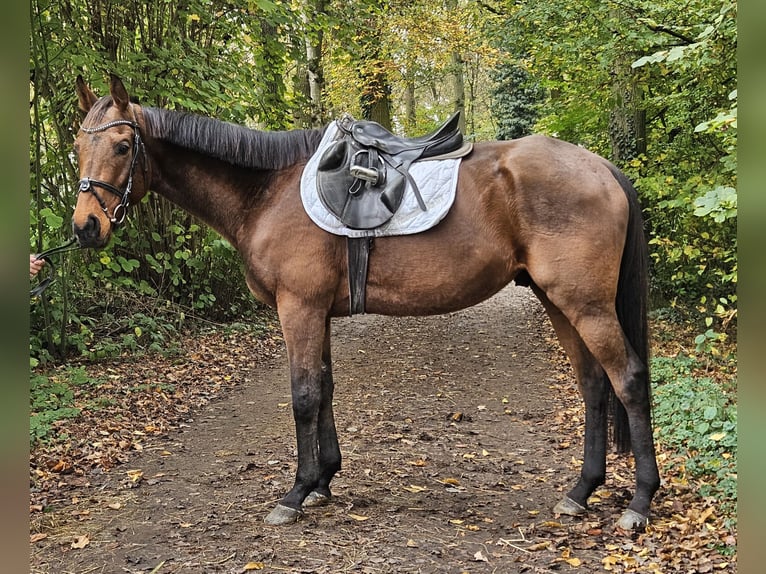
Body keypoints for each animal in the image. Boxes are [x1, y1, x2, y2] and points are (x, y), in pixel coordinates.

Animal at [70, 75, 660, 532]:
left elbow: (303, 395)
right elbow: (325, 388)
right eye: (77, 146)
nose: (85, 227)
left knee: (628, 379)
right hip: (558, 302)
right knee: (593, 385)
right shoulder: (317, 312)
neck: (268, 191)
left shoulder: (299, 308)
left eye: (122, 147)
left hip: (585, 304)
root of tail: (601, 168)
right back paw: (580, 492)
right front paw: (323, 481)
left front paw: (295, 493)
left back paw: (638, 502)